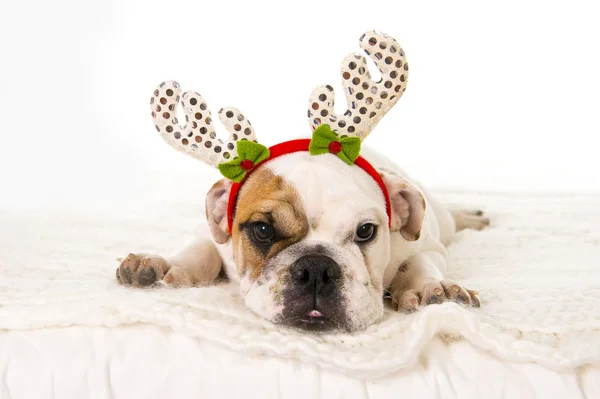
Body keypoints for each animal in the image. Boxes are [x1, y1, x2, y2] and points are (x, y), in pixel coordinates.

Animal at [115, 31, 490, 332]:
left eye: (366, 231)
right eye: (262, 230)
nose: (316, 269)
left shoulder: (429, 246)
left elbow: (419, 262)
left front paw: (432, 288)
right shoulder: (210, 234)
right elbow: (199, 249)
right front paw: (163, 265)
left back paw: (473, 215)